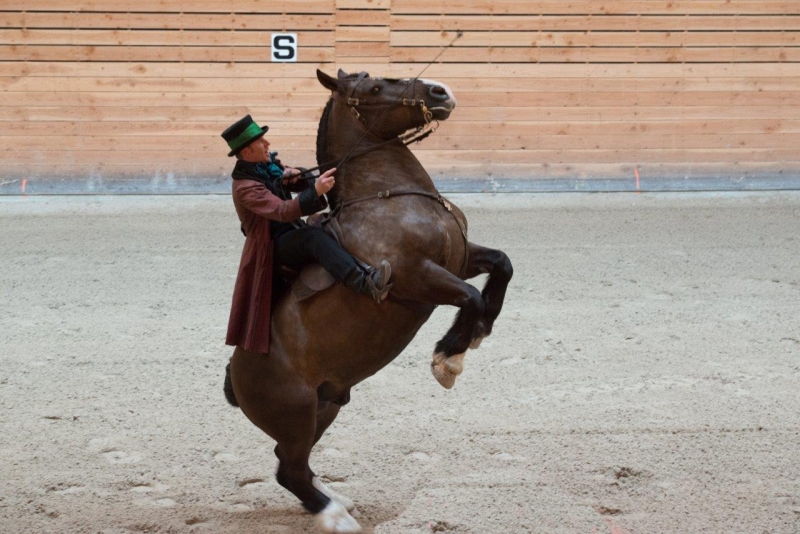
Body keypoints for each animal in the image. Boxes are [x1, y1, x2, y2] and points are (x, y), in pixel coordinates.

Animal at [225, 70, 512, 534]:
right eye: (376, 88)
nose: (441, 92)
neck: (388, 197)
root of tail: (236, 371)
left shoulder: (460, 258)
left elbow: (502, 267)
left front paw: (475, 338)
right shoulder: (418, 276)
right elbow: (471, 299)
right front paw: (448, 360)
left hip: (326, 406)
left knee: (292, 466)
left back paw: (335, 500)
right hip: (297, 414)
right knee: (290, 470)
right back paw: (335, 516)